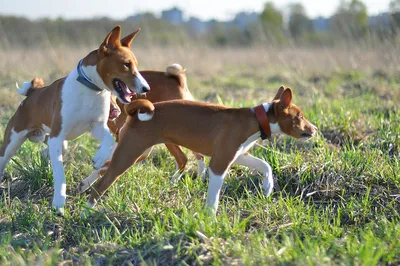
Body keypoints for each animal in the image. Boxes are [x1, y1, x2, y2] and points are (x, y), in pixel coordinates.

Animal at [0, 25, 150, 214]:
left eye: (135, 65)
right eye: (126, 64)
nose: (146, 88)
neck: (91, 91)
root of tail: (32, 92)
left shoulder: (97, 126)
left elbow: (108, 139)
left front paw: (99, 157)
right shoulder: (57, 136)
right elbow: (60, 173)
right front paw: (59, 202)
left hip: (52, 139)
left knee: (50, 150)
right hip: (14, 140)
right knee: (4, 159)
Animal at [86, 86, 318, 213]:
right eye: (300, 116)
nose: (314, 129)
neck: (254, 120)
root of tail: (135, 113)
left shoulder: (237, 155)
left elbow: (265, 165)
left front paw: (268, 187)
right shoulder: (219, 163)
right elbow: (213, 197)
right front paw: (210, 219)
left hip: (136, 153)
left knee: (104, 167)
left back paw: (83, 186)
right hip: (129, 154)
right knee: (101, 186)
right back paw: (86, 212)